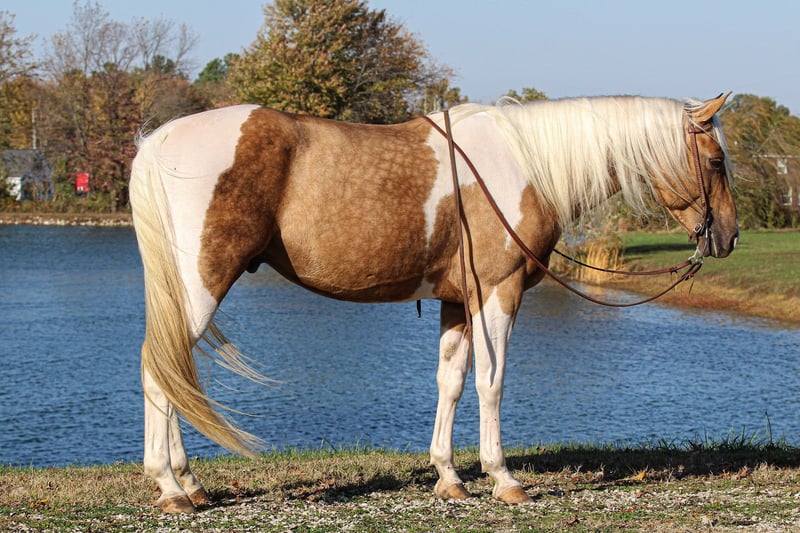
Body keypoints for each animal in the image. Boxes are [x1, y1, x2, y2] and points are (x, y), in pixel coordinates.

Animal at [129, 92, 738, 513]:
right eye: (715, 161)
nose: (728, 237)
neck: (525, 166)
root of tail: (158, 142)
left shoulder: (457, 302)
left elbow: (451, 381)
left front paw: (449, 477)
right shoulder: (498, 291)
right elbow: (491, 381)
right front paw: (503, 479)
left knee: (170, 371)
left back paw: (190, 484)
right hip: (201, 285)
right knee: (160, 371)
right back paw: (171, 487)